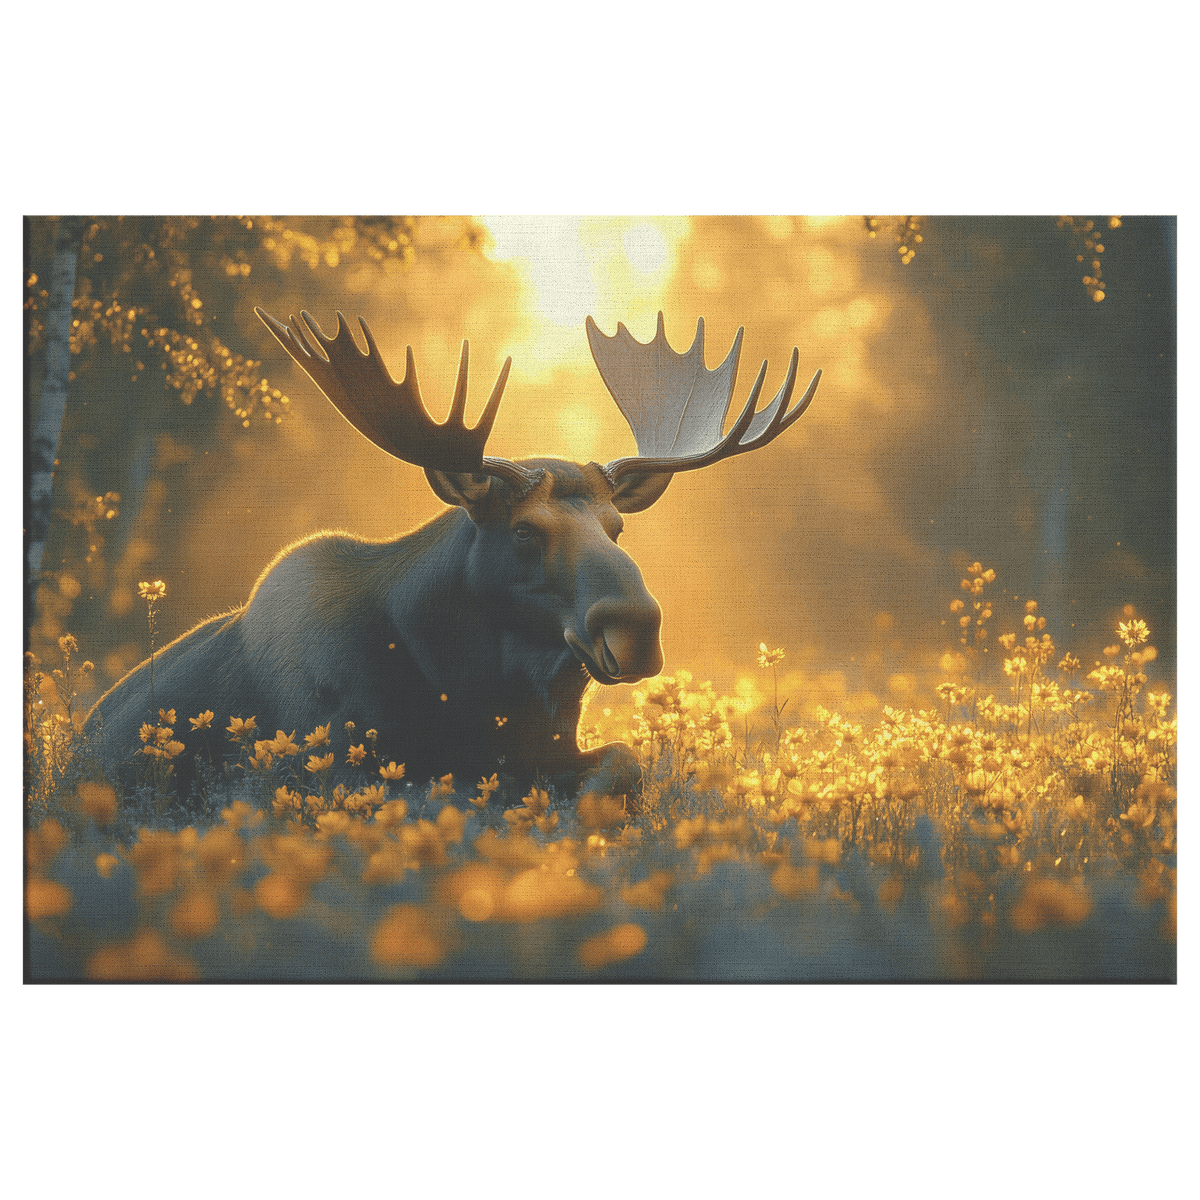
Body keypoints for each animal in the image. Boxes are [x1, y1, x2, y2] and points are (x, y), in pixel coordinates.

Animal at [85, 308, 820, 810]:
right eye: (523, 531)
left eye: (617, 528)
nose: (635, 627)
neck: (477, 690)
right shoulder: (327, 759)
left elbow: (624, 763)